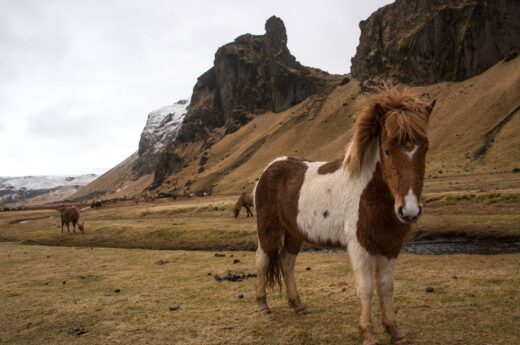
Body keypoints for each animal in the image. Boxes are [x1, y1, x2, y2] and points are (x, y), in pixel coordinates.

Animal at [255, 87, 434, 342]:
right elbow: (366, 288)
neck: (369, 193)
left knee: (287, 262)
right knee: (262, 260)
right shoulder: (360, 248)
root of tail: (270, 167)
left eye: (425, 148)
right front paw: (368, 333)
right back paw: (263, 306)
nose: (409, 210)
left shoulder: (389, 247)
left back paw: (298, 305)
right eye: (387, 150)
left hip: (293, 233)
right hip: (268, 228)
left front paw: (394, 331)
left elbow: (386, 287)